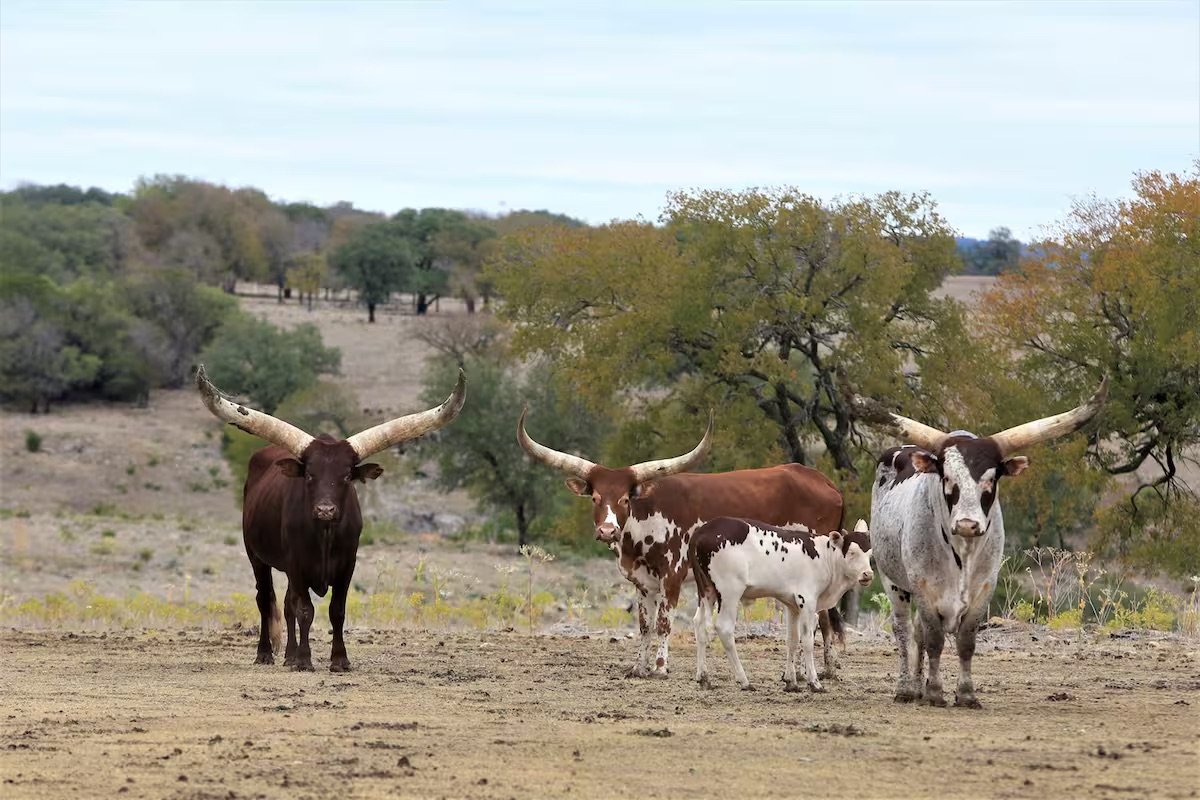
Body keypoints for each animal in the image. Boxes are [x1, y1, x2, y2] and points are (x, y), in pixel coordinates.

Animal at [196, 364, 466, 672]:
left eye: (347, 476)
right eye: (310, 475)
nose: (325, 510)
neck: (324, 535)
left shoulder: (347, 564)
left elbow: (336, 611)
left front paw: (339, 659)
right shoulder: (297, 563)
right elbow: (305, 610)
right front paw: (304, 660)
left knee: (286, 604)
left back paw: (288, 655)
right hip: (256, 555)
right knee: (265, 599)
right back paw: (265, 653)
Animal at [517, 410, 847, 678]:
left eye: (624, 499)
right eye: (596, 498)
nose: (607, 530)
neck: (642, 522)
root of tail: (825, 482)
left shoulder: (672, 574)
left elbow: (664, 622)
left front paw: (661, 667)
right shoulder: (642, 582)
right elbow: (645, 625)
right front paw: (638, 667)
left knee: (818, 619)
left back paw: (817, 671)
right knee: (820, 617)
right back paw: (818, 670)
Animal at [691, 518, 873, 693]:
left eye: (870, 554)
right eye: (852, 552)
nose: (868, 574)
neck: (824, 556)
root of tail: (702, 531)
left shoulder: (792, 605)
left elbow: (792, 640)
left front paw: (790, 681)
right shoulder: (807, 602)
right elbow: (807, 641)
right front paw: (814, 682)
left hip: (706, 591)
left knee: (699, 624)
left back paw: (703, 677)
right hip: (729, 592)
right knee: (724, 629)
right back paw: (744, 680)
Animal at [848, 378, 1107, 707]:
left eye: (991, 480)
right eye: (947, 478)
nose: (967, 524)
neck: (963, 552)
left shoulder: (984, 588)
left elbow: (966, 642)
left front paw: (966, 693)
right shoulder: (923, 587)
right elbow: (934, 640)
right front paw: (935, 692)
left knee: (916, 633)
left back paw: (917, 685)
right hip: (893, 581)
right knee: (904, 630)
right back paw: (906, 688)